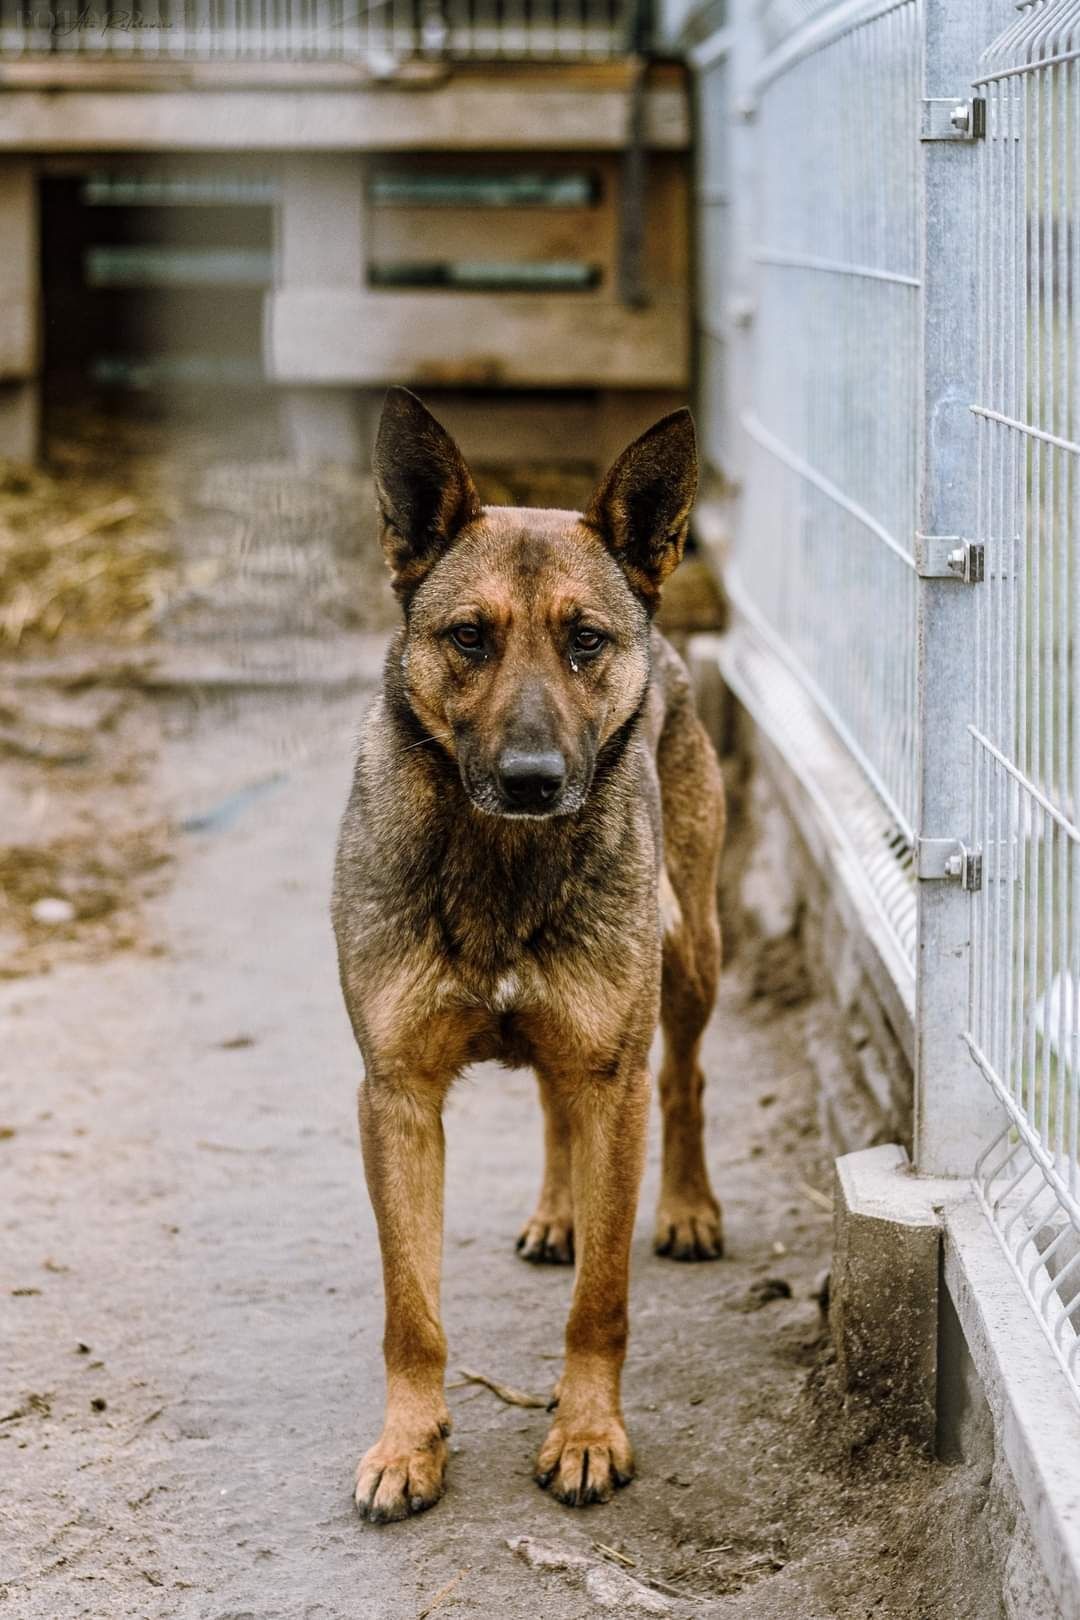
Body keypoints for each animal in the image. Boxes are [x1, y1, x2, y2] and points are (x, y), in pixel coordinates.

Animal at [330, 388, 725, 1516]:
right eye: (469, 636)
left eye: (585, 640)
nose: (533, 780)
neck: (501, 858)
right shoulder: (397, 1097)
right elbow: (410, 1309)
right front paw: (407, 1445)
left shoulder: (611, 1074)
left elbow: (603, 1300)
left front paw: (588, 1434)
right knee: (555, 1114)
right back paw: (558, 1215)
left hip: (691, 965)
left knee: (685, 1081)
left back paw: (689, 1208)